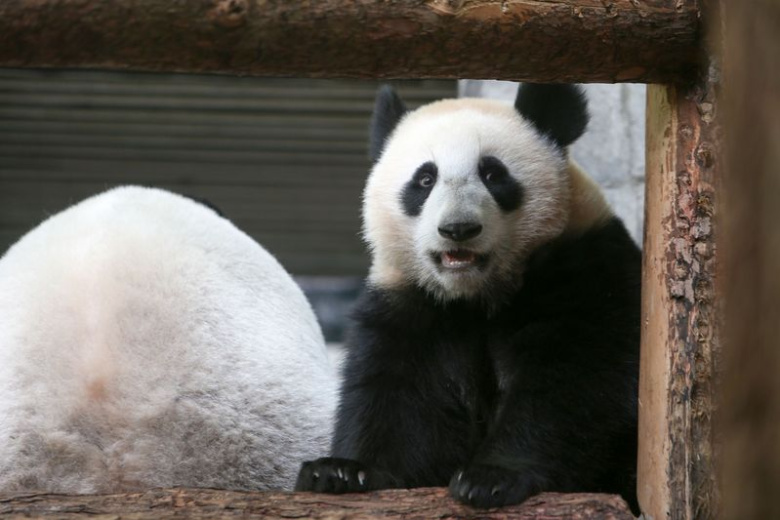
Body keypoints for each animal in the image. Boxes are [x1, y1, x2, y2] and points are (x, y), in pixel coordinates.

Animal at [295, 84, 641, 512]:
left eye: (493, 173)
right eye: (425, 179)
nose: (458, 229)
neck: (475, 294)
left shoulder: (586, 272)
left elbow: (573, 384)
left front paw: (491, 476)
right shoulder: (411, 303)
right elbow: (397, 392)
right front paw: (340, 471)